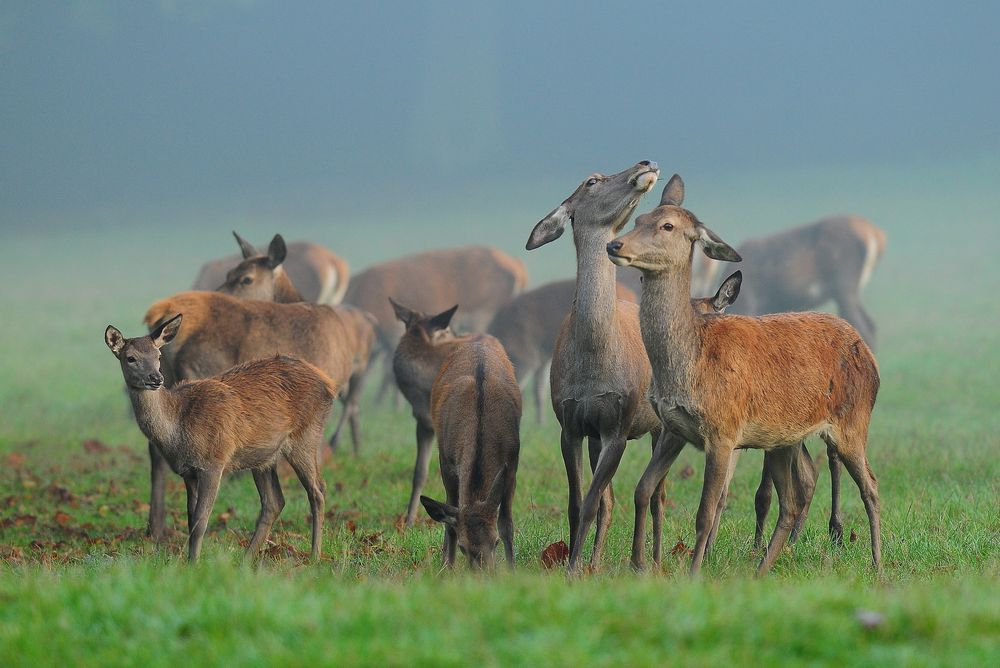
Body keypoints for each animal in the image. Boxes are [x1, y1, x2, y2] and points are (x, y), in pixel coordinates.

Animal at [105, 316, 334, 560]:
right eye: (131, 358)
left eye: (158, 356)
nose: (155, 378)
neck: (178, 430)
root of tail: (329, 384)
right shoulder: (188, 472)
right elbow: (190, 520)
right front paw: (190, 560)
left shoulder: (213, 462)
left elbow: (200, 521)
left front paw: (193, 563)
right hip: (264, 456)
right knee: (274, 501)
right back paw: (246, 559)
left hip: (306, 435)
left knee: (317, 490)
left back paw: (314, 555)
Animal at [217, 230, 376, 454]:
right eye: (229, 273)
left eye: (247, 279)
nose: (216, 296)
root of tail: (370, 319)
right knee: (354, 407)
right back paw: (356, 449)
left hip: (360, 366)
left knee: (352, 403)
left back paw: (340, 443)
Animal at [420, 336, 524, 572]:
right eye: (463, 547)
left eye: (495, 542)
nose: (485, 573)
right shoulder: (446, 461)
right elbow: (450, 520)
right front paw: (447, 567)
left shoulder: (512, 463)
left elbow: (507, 523)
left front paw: (513, 569)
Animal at [608, 174, 884, 576]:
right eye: (639, 219)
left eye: (667, 226)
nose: (614, 244)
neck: (688, 362)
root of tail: (868, 354)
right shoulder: (674, 428)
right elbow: (643, 489)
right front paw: (639, 565)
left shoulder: (723, 430)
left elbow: (707, 511)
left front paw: (694, 573)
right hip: (784, 439)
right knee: (793, 499)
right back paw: (761, 569)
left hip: (852, 422)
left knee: (871, 487)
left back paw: (877, 564)